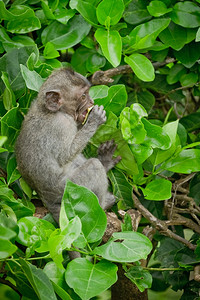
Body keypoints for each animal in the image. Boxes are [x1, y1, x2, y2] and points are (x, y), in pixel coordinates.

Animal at [15, 67, 120, 224]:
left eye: (88, 93)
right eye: (83, 96)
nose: (92, 101)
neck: (51, 110)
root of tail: (46, 199)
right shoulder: (62, 125)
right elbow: (65, 155)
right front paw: (94, 120)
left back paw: (104, 162)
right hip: (71, 189)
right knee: (93, 166)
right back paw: (103, 205)